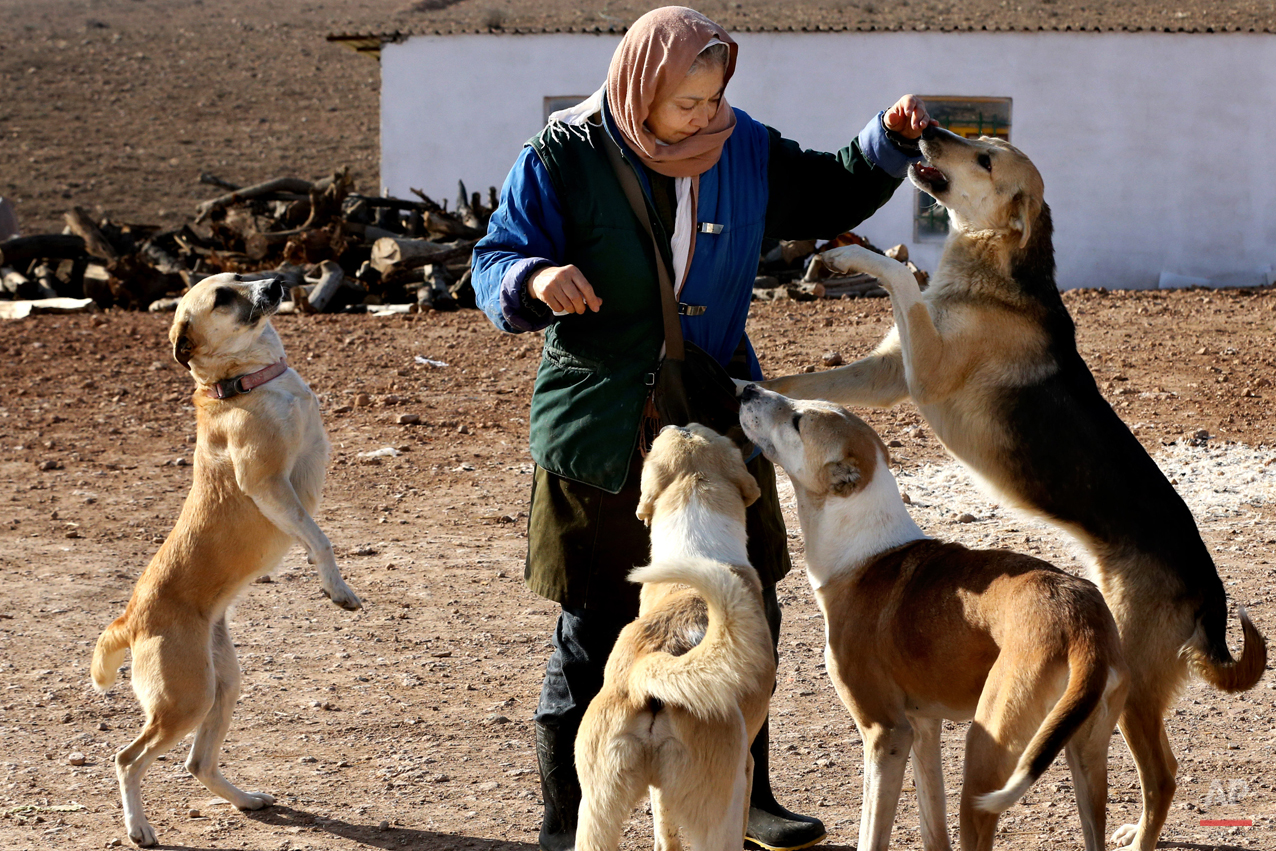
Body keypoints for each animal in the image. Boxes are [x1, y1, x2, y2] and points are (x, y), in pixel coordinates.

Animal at [90, 273, 362, 847]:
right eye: (222, 298)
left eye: (241, 277)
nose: (277, 281)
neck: (249, 380)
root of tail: (131, 617)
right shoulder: (266, 484)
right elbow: (319, 539)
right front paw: (337, 589)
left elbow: (315, 533)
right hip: (185, 699)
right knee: (128, 758)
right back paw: (139, 827)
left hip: (222, 685)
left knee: (197, 763)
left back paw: (245, 800)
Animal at [574, 426, 770, 851]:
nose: (670, 426)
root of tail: (650, 668)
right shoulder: (745, 768)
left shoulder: (659, 794)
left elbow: (665, 830)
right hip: (721, 807)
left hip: (596, 811)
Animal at [740, 387, 1127, 851]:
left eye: (798, 420)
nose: (747, 389)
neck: (863, 551)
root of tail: (1081, 625)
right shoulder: (924, 726)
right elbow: (932, 824)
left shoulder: (886, 734)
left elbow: (871, 834)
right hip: (1085, 756)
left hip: (986, 753)